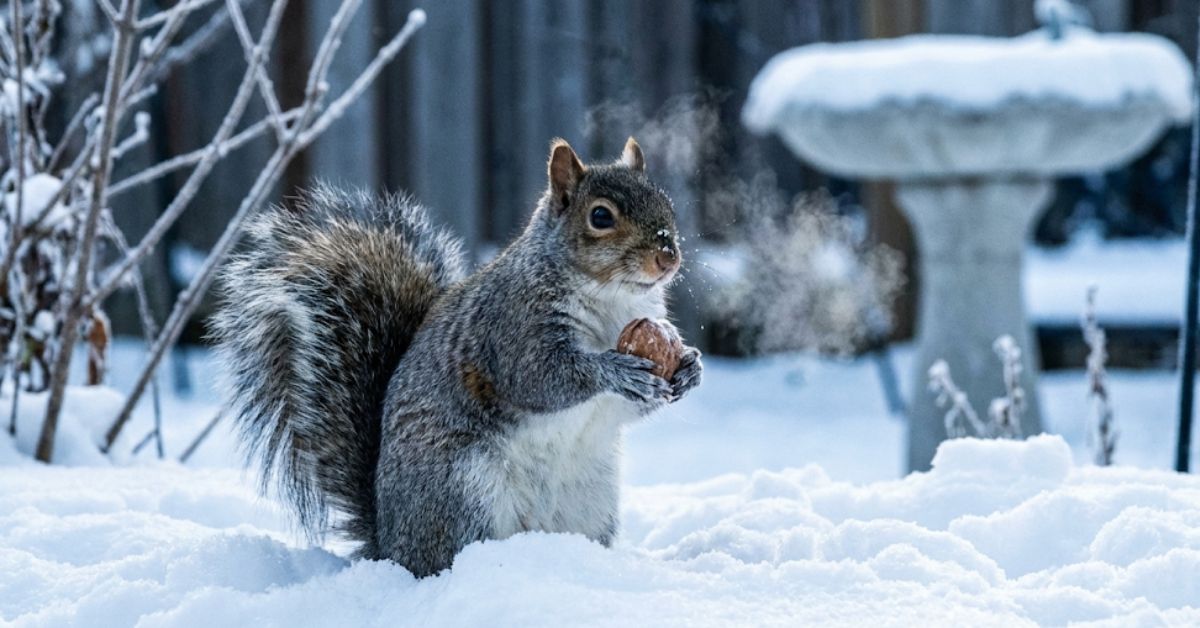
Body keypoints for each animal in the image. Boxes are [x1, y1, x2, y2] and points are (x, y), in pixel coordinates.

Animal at [212, 137, 702, 578]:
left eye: (665, 202)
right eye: (600, 216)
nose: (667, 256)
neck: (611, 298)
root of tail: (389, 545)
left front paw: (690, 369)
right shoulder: (513, 327)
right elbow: (541, 377)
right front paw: (613, 370)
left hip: (589, 499)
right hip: (461, 490)